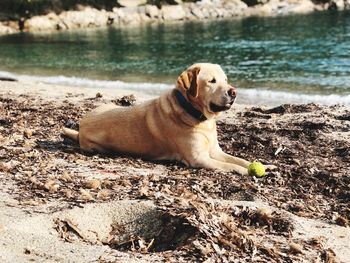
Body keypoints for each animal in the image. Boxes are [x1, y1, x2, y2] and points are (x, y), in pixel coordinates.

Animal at [63, 63, 266, 176]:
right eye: (212, 81)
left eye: (225, 79)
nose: (234, 92)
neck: (195, 114)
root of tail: (81, 125)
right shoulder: (199, 158)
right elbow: (228, 165)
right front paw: (244, 171)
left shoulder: (215, 151)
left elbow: (238, 159)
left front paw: (264, 165)